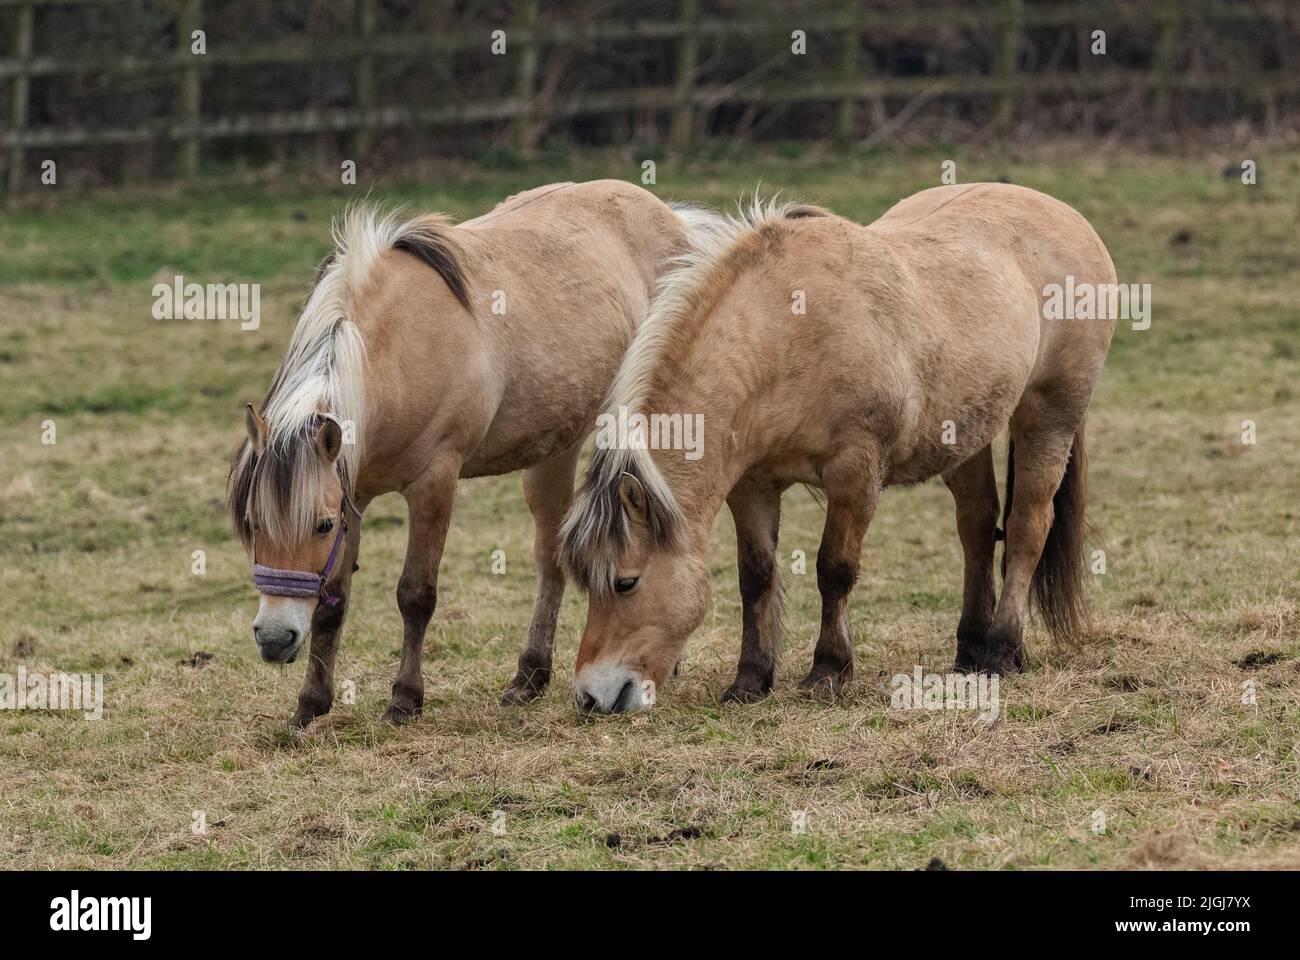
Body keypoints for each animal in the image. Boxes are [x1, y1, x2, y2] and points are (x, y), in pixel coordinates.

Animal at [227, 179, 717, 723]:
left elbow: (415, 595)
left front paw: (405, 699)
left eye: (320, 525)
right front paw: (312, 703)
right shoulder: (353, 490)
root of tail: (670, 216)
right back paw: (530, 676)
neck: (392, 356)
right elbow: (333, 599)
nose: (274, 638)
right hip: (555, 450)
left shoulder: (434, 482)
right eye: (251, 522)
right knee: (551, 559)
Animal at [559, 184, 1118, 712]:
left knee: (1027, 528)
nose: (592, 696)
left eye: (626, 582)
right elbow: (755, 576)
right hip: (968, 433)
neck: (786, 332)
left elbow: (834, 569)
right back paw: (969, 651)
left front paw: (828, 671)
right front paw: (750, 679)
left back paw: (1001, 650)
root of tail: (1065, 216)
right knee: (978, 527)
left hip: (1050, 415)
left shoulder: (855, 473)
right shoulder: (753, 484)